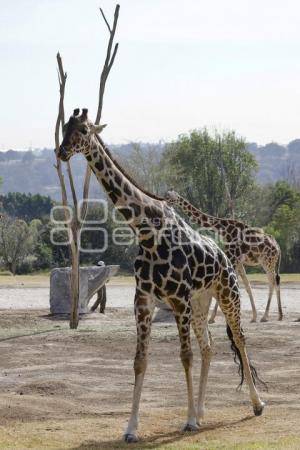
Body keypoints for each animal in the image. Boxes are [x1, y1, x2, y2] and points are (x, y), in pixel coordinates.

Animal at [57, 108, 264, 442]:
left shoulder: (177, 299)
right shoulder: (143, 300)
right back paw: (202, 411)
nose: (61, 152)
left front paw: (188, 421)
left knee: (240, 339)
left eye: (85, 130)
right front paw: (131, 429)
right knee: (208, 346)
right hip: (200, 302)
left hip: (227, 294)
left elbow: (185, 356)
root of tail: (223, 257)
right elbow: (140, 361)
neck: (146, 231)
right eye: (65, 127)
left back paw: (255, 404)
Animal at [165, 190, 282, 324]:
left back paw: (266, 316)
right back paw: (279, 315)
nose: (164, 201)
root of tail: (278, 248)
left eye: (169, 197)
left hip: (267, 262)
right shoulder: (238, 261)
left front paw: (212, 318)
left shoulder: (233, 257)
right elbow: (247, 286)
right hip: (272, 263)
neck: (224, 229)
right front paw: (253, 316)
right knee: (277, 279)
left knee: (272, 282)